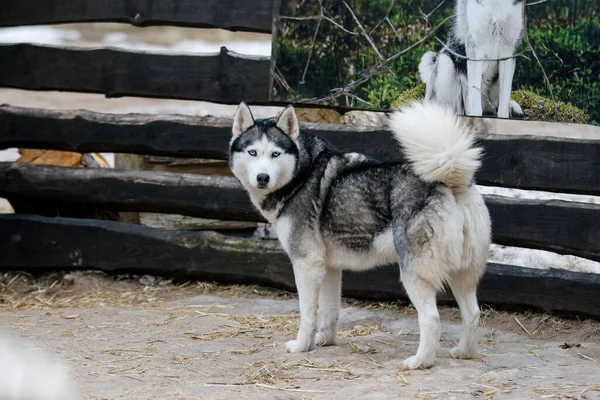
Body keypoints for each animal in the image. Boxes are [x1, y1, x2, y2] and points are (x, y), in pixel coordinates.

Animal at [230, 101, 492, 368]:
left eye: (275, 154)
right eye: (252, 152)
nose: (263, 178)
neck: (301, 174)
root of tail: (451, 183)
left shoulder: (306, 264)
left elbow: (308, 313)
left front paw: (302, 346)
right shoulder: (329, 268)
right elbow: (329, 311)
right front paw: (325, 341)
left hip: (415, 275)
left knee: (431, 318)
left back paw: (419, 362)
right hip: (462, 274)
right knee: (472, 313)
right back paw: (464, 352)